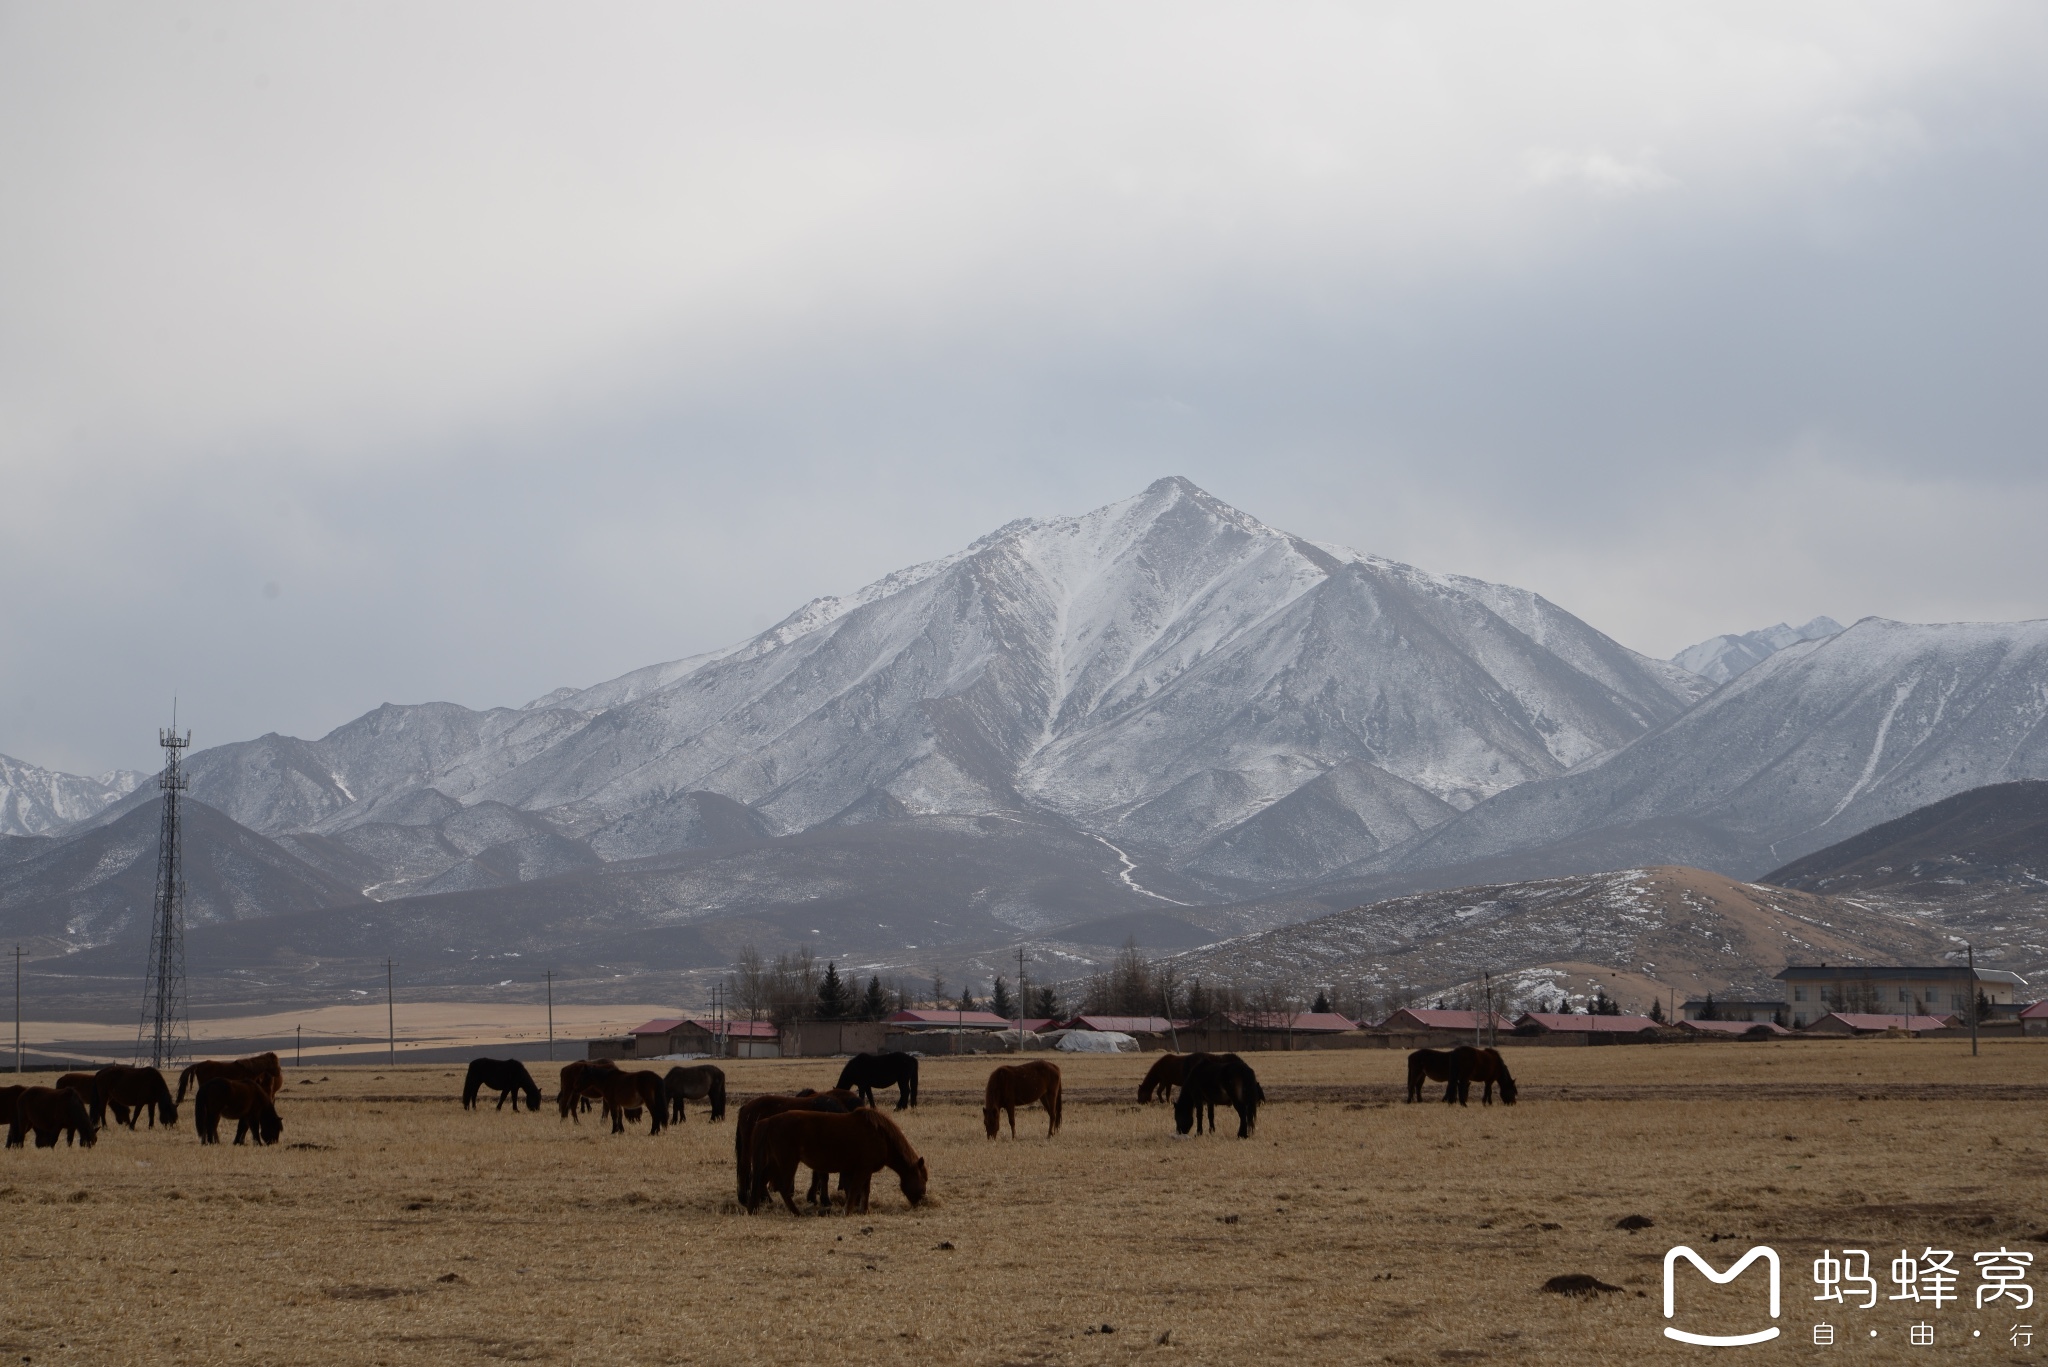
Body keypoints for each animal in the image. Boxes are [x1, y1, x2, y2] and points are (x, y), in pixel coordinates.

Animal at [733, 1082, 868, 1205]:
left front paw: (813, 1198)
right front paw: (825, 1200)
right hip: (749, 1148)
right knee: (745, 1168)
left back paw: (765, 1198)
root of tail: (746, 1107)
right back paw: (744, 1198)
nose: (858, 1201)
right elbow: (823, 1175)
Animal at [749, 1114, 933, 1221]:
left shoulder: (866, 1171)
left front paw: (864, 1210)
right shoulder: (862, 1170)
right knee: (783, 1187)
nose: (921, 1200)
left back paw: (754, 1209)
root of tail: (769, 1121)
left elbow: (865, 1191)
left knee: (761, 1180)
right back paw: (796, 1212)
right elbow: (855, 1189)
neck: (882, 1135)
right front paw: (847, 1211)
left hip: (775, 1162)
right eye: (923, 1178)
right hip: (787, 1162)